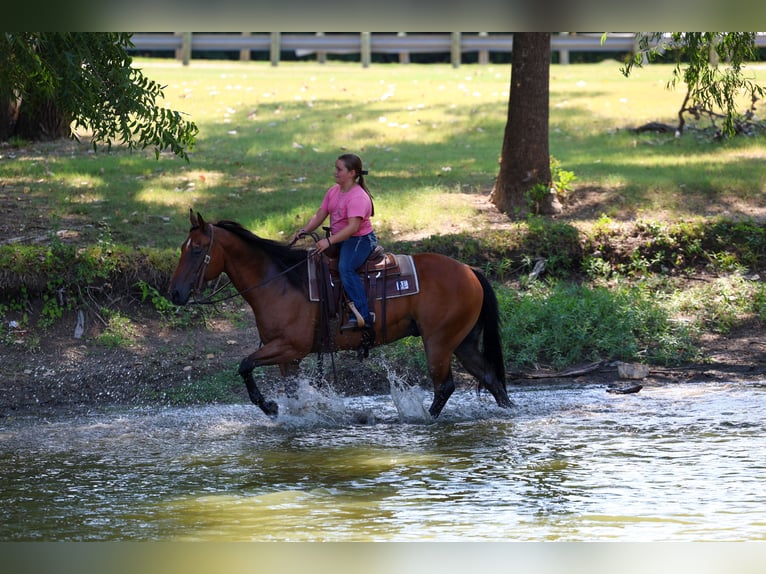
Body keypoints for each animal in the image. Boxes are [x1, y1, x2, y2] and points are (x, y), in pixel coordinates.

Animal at [169, 210, 512, 418]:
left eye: (197, 250)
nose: (174, 293)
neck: (280, 282)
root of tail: (469, 270)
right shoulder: (287, 357)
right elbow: (290, 391)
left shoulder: (290, 347)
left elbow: (244, 365)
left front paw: (269, 407)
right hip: (463, 342)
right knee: (490, 378)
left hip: (438, 343)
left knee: (445, 387)